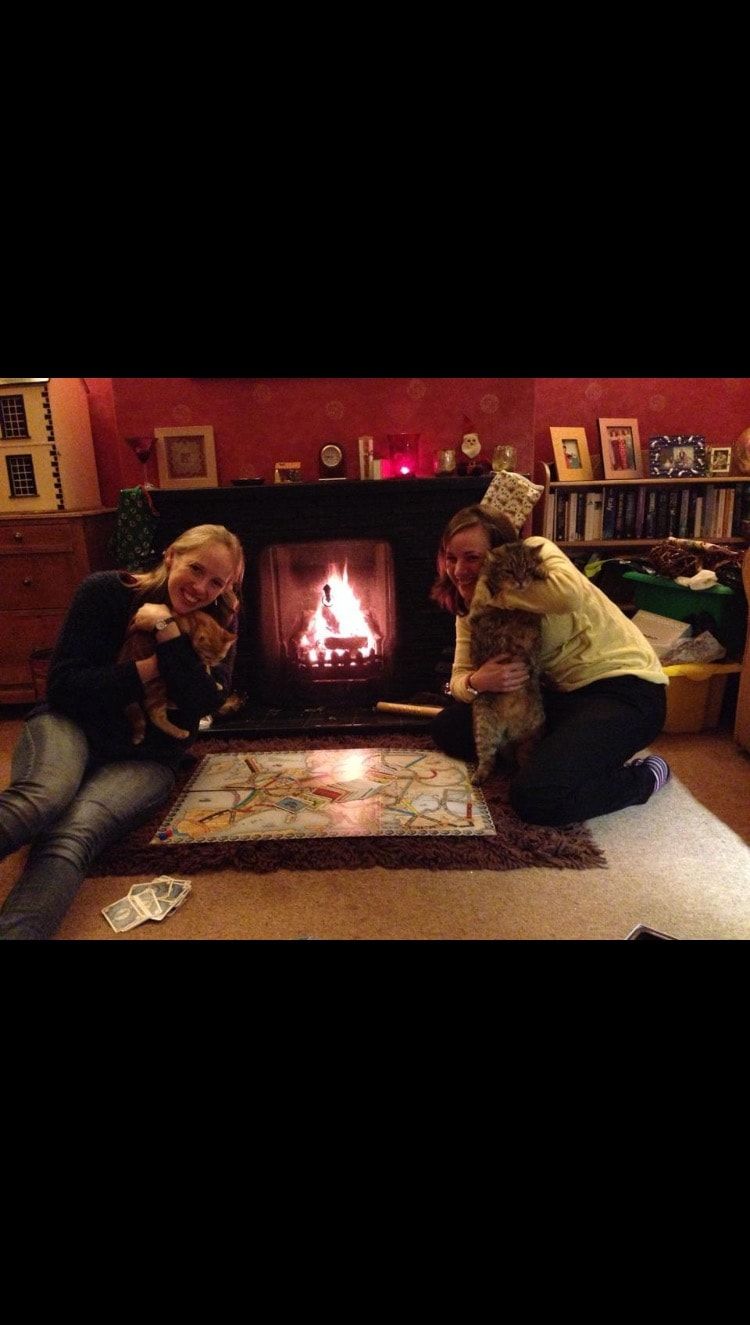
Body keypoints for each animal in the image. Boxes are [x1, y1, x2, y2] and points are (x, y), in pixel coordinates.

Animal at [118, 609, 237, 744]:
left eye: (220, 657)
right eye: (208, 656)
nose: (213, 662)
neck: (193, 622)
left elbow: (206, 670)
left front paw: (215, 682)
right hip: (158, 686)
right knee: (155, 715)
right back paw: (180, 733)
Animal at [467, 541, 547, 783]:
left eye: (526, 568)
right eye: (509, 571)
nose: (521, 581)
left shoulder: (533, 615)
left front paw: (541, 570)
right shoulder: (480, 612)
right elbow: (485, 594)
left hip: (531, 737)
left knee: (522, 762)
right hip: (484, 729)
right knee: (488, 759)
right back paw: (479, 776)